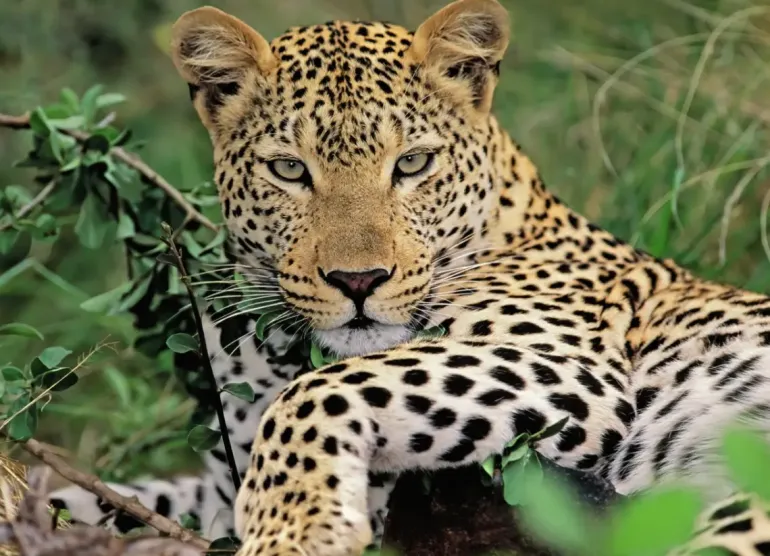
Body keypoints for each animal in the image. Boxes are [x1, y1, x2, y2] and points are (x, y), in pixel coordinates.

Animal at [49, 0, 770, 555]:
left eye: (414, 164)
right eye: (289, 170)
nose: (358, 281)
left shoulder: (570, 370)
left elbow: (320, 390)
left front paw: (295, 530)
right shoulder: (223, 479)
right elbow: (118, 496)